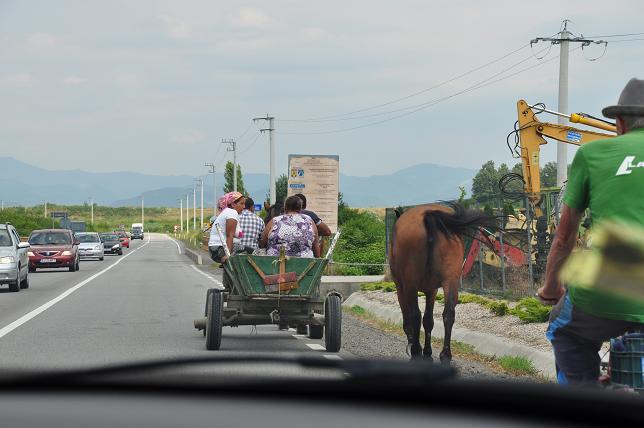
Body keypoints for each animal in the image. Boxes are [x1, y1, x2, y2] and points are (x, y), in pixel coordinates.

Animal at [388, 202, 498, 362]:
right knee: (448, 313)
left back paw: (416, 351)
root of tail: (428, 216)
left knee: (415, 315)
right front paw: (428, 351)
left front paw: (417, 346)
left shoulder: (401, 288)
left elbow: (409, 320)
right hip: (450, 281)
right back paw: (445, 354)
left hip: (410, 285)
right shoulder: (432, 290)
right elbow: (428, 320)